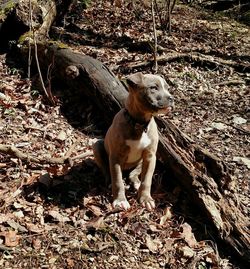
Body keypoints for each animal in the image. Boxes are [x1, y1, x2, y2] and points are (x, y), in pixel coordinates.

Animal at [92, 72, 174, 210]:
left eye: (167, 88)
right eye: (153, 87)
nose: (171, 98)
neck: (139, 124)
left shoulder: (150, 156)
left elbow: (147, 180)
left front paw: (145, 198)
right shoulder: (115, 157)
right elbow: (117, 180)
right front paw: (120, 200)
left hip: (145, 161)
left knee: (133, 174)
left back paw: (136, 182)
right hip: (96, 145)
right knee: (107, 170)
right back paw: (109, 182)